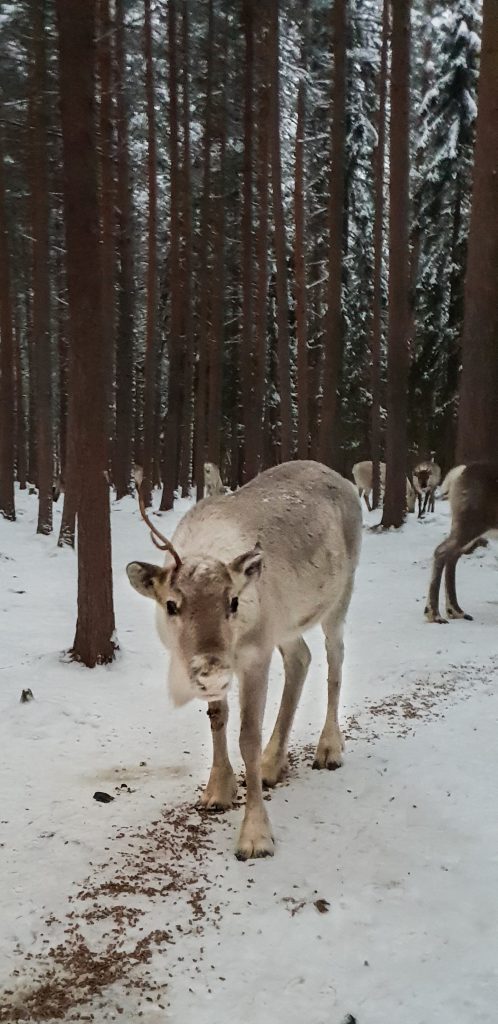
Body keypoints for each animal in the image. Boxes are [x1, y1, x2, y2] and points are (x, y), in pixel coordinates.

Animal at [126, 460, 362, 860]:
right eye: (172, 604)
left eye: (233, 601)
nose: (211, 668)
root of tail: (343, 479)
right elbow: (217, 719)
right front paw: (218, 790)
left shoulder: (255, 656)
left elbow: (247, 737)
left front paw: (255, 834)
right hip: (286, 625)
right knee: (301, 657)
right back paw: (272, 764)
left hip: (339, 597)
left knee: (336, 658)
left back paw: (328, 747)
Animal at [425, 461, 498, 624]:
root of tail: (459, 473)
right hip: (471, 524)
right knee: (441, 551)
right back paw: (435, 614)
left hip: (462, 526)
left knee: (452, 557)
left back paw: (456, 611)